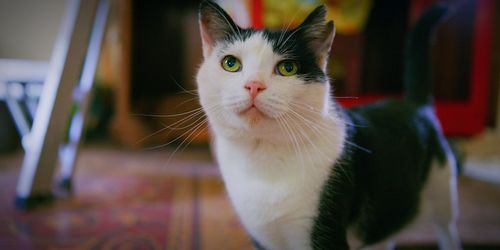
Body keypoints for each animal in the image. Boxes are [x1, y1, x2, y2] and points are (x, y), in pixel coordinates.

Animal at [195, 0, 460, 249]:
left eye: (287, 68)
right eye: (231, 64)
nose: (253, 85)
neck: (262, 157)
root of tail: (414, 105)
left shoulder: (326, 232)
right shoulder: (261, 238)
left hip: (442, 193)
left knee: (448, 231)